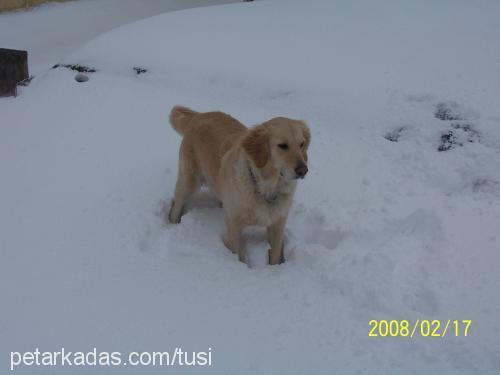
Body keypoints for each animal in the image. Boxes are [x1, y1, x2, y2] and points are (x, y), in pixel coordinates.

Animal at [168, 105, 308, 264]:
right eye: (283, 146)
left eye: (302, 144)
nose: (303, 170)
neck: (265, 187)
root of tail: (198, 115)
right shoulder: (234, 224)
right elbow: (234, 250)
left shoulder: (278, 224)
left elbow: (275, 254)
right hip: (189, 181)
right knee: (176, 205)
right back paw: (172, 224)